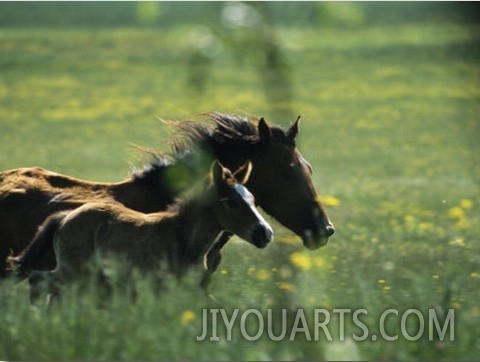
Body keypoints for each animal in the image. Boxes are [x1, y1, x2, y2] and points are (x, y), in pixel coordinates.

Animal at [10, 163, 274, 302]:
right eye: (231, 202)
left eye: (252, 198)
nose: (265, 233)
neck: (181, 236)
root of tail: (66, 217)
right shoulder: (161, 287)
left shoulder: (194, 289)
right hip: (75, 270)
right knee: (38, 280)